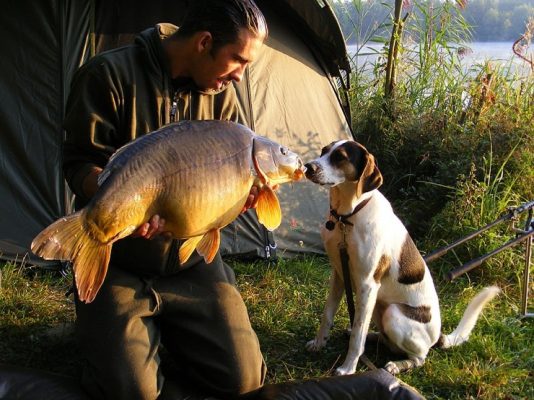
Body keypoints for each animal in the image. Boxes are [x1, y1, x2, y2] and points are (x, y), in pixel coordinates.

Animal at [306, 140, 502, 376]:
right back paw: (373, 338)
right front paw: (319, 343)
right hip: (378, 307)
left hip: (392, 313)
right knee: (385, 339)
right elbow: (327, 315)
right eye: (324, 151)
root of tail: (438, 337)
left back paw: (396, 365)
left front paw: (348, 368)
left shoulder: (367, 284)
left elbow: (357, 336)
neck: (347, 217)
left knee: (420, 357)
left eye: (341, 157)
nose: (308, 166)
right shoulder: (339, 273)